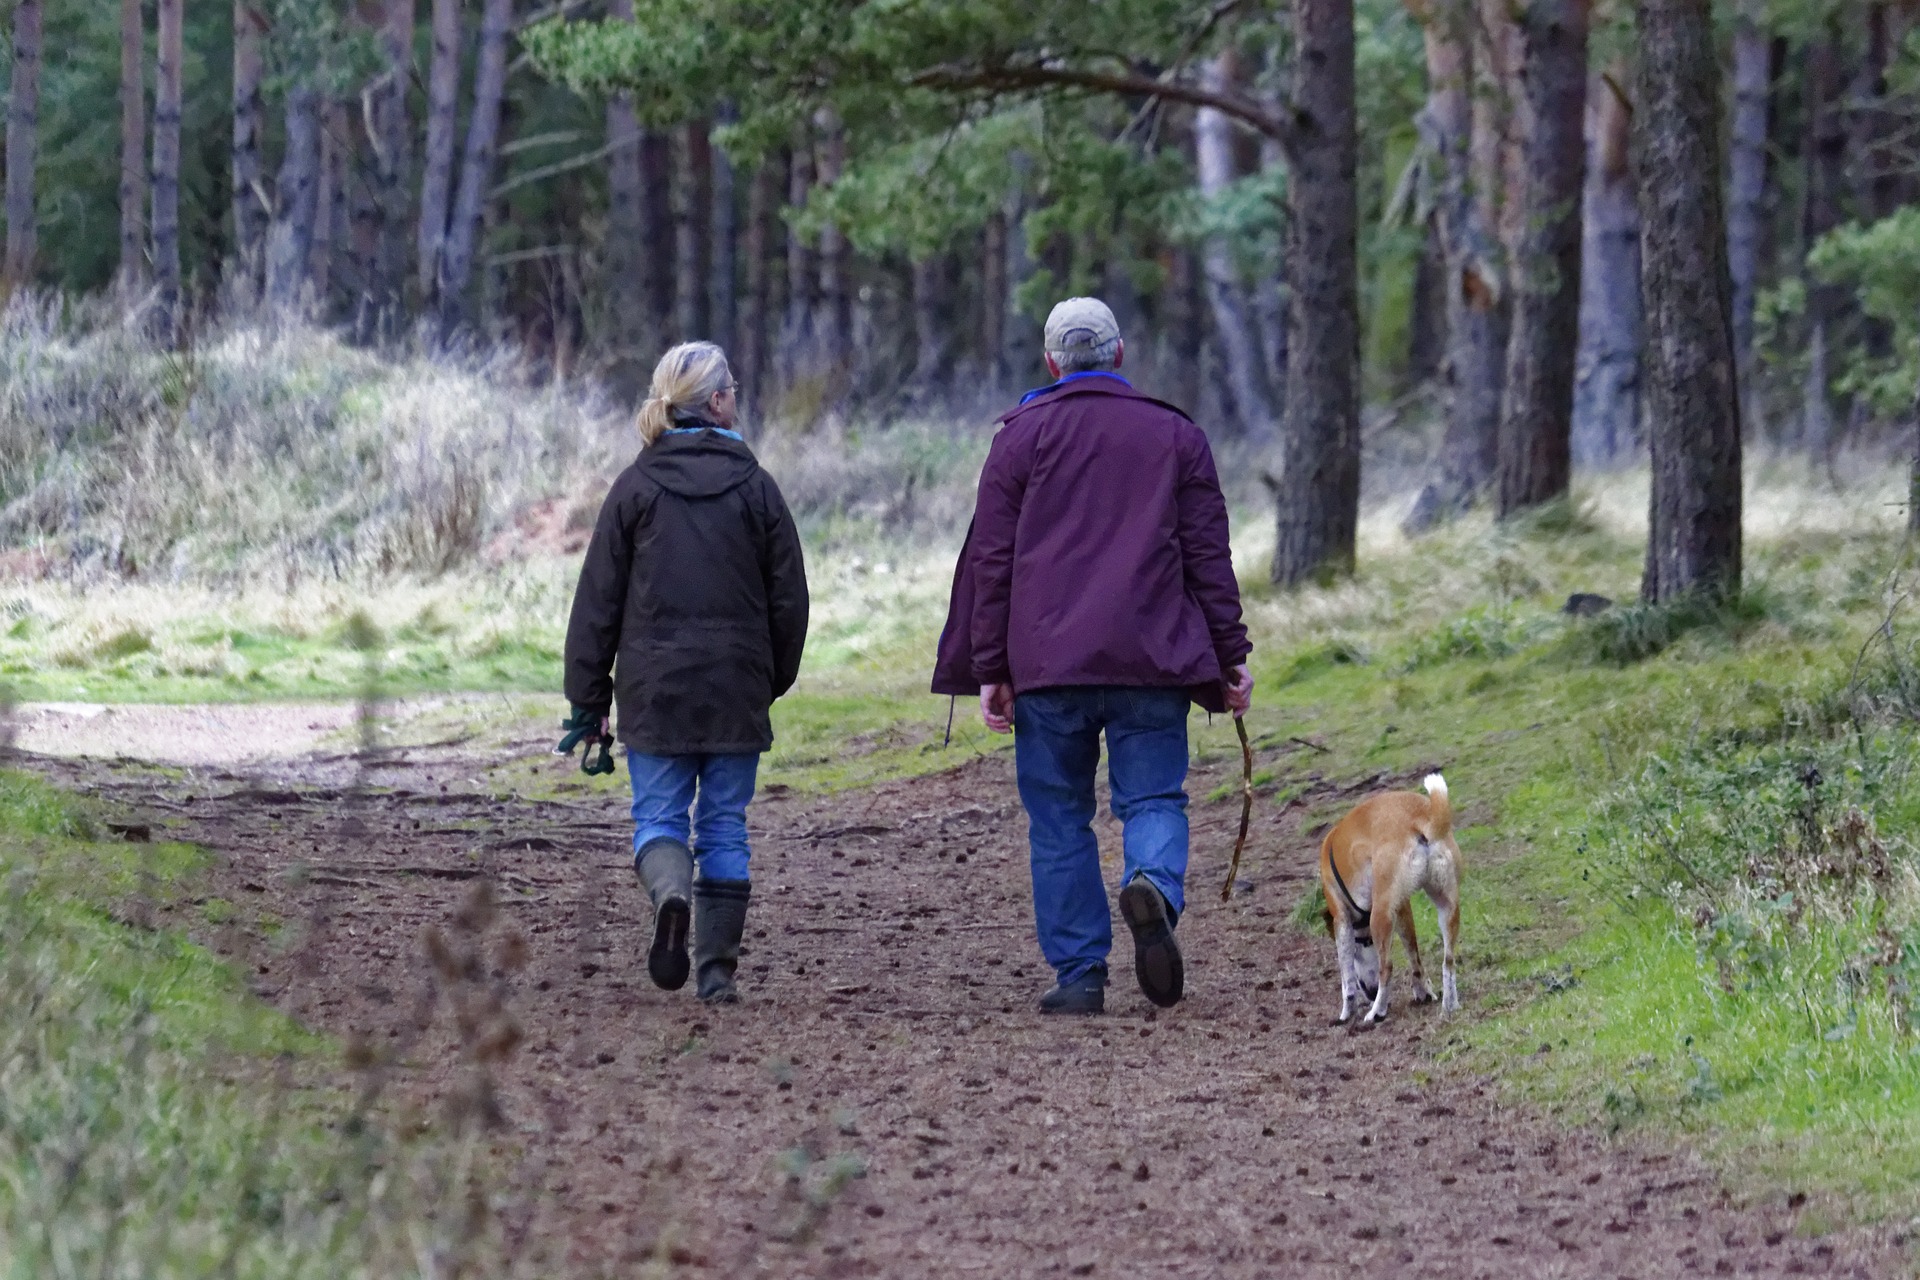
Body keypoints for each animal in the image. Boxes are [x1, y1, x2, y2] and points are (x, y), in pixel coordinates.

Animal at [1313, 771, 1459, 1028]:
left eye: (1362, 945)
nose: (1370, 993)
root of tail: (1418, 818)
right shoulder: (1401, 908)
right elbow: (1415, 958)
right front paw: (1424, 993)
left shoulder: (1342, 919)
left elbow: (1347, 977)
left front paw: (1346, 1013)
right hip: (1447, 906)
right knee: (1448, 960)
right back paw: (1450, 1005)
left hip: (1380, 916)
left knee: (1386, 968)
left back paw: (1376, 1012)